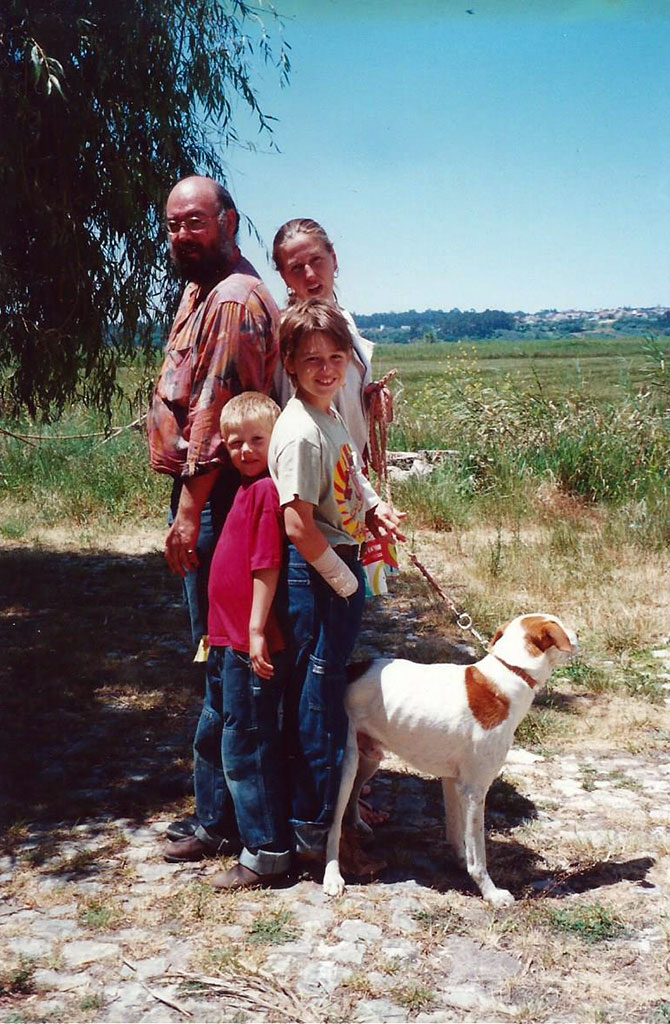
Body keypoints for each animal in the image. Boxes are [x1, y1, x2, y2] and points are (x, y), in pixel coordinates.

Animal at [325, 606, 577, 905]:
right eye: (562, 626)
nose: (578, 633)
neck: (509, 674)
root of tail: (349, 670)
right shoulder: (474, 789)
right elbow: (478, 855)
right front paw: (490, 892)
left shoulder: (451, 781)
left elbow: (458, 836)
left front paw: (460, 862)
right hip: (346, 766)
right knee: (333, 826)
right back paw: (332, 877)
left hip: (370, 758)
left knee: (353, 797)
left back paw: (358, 823)